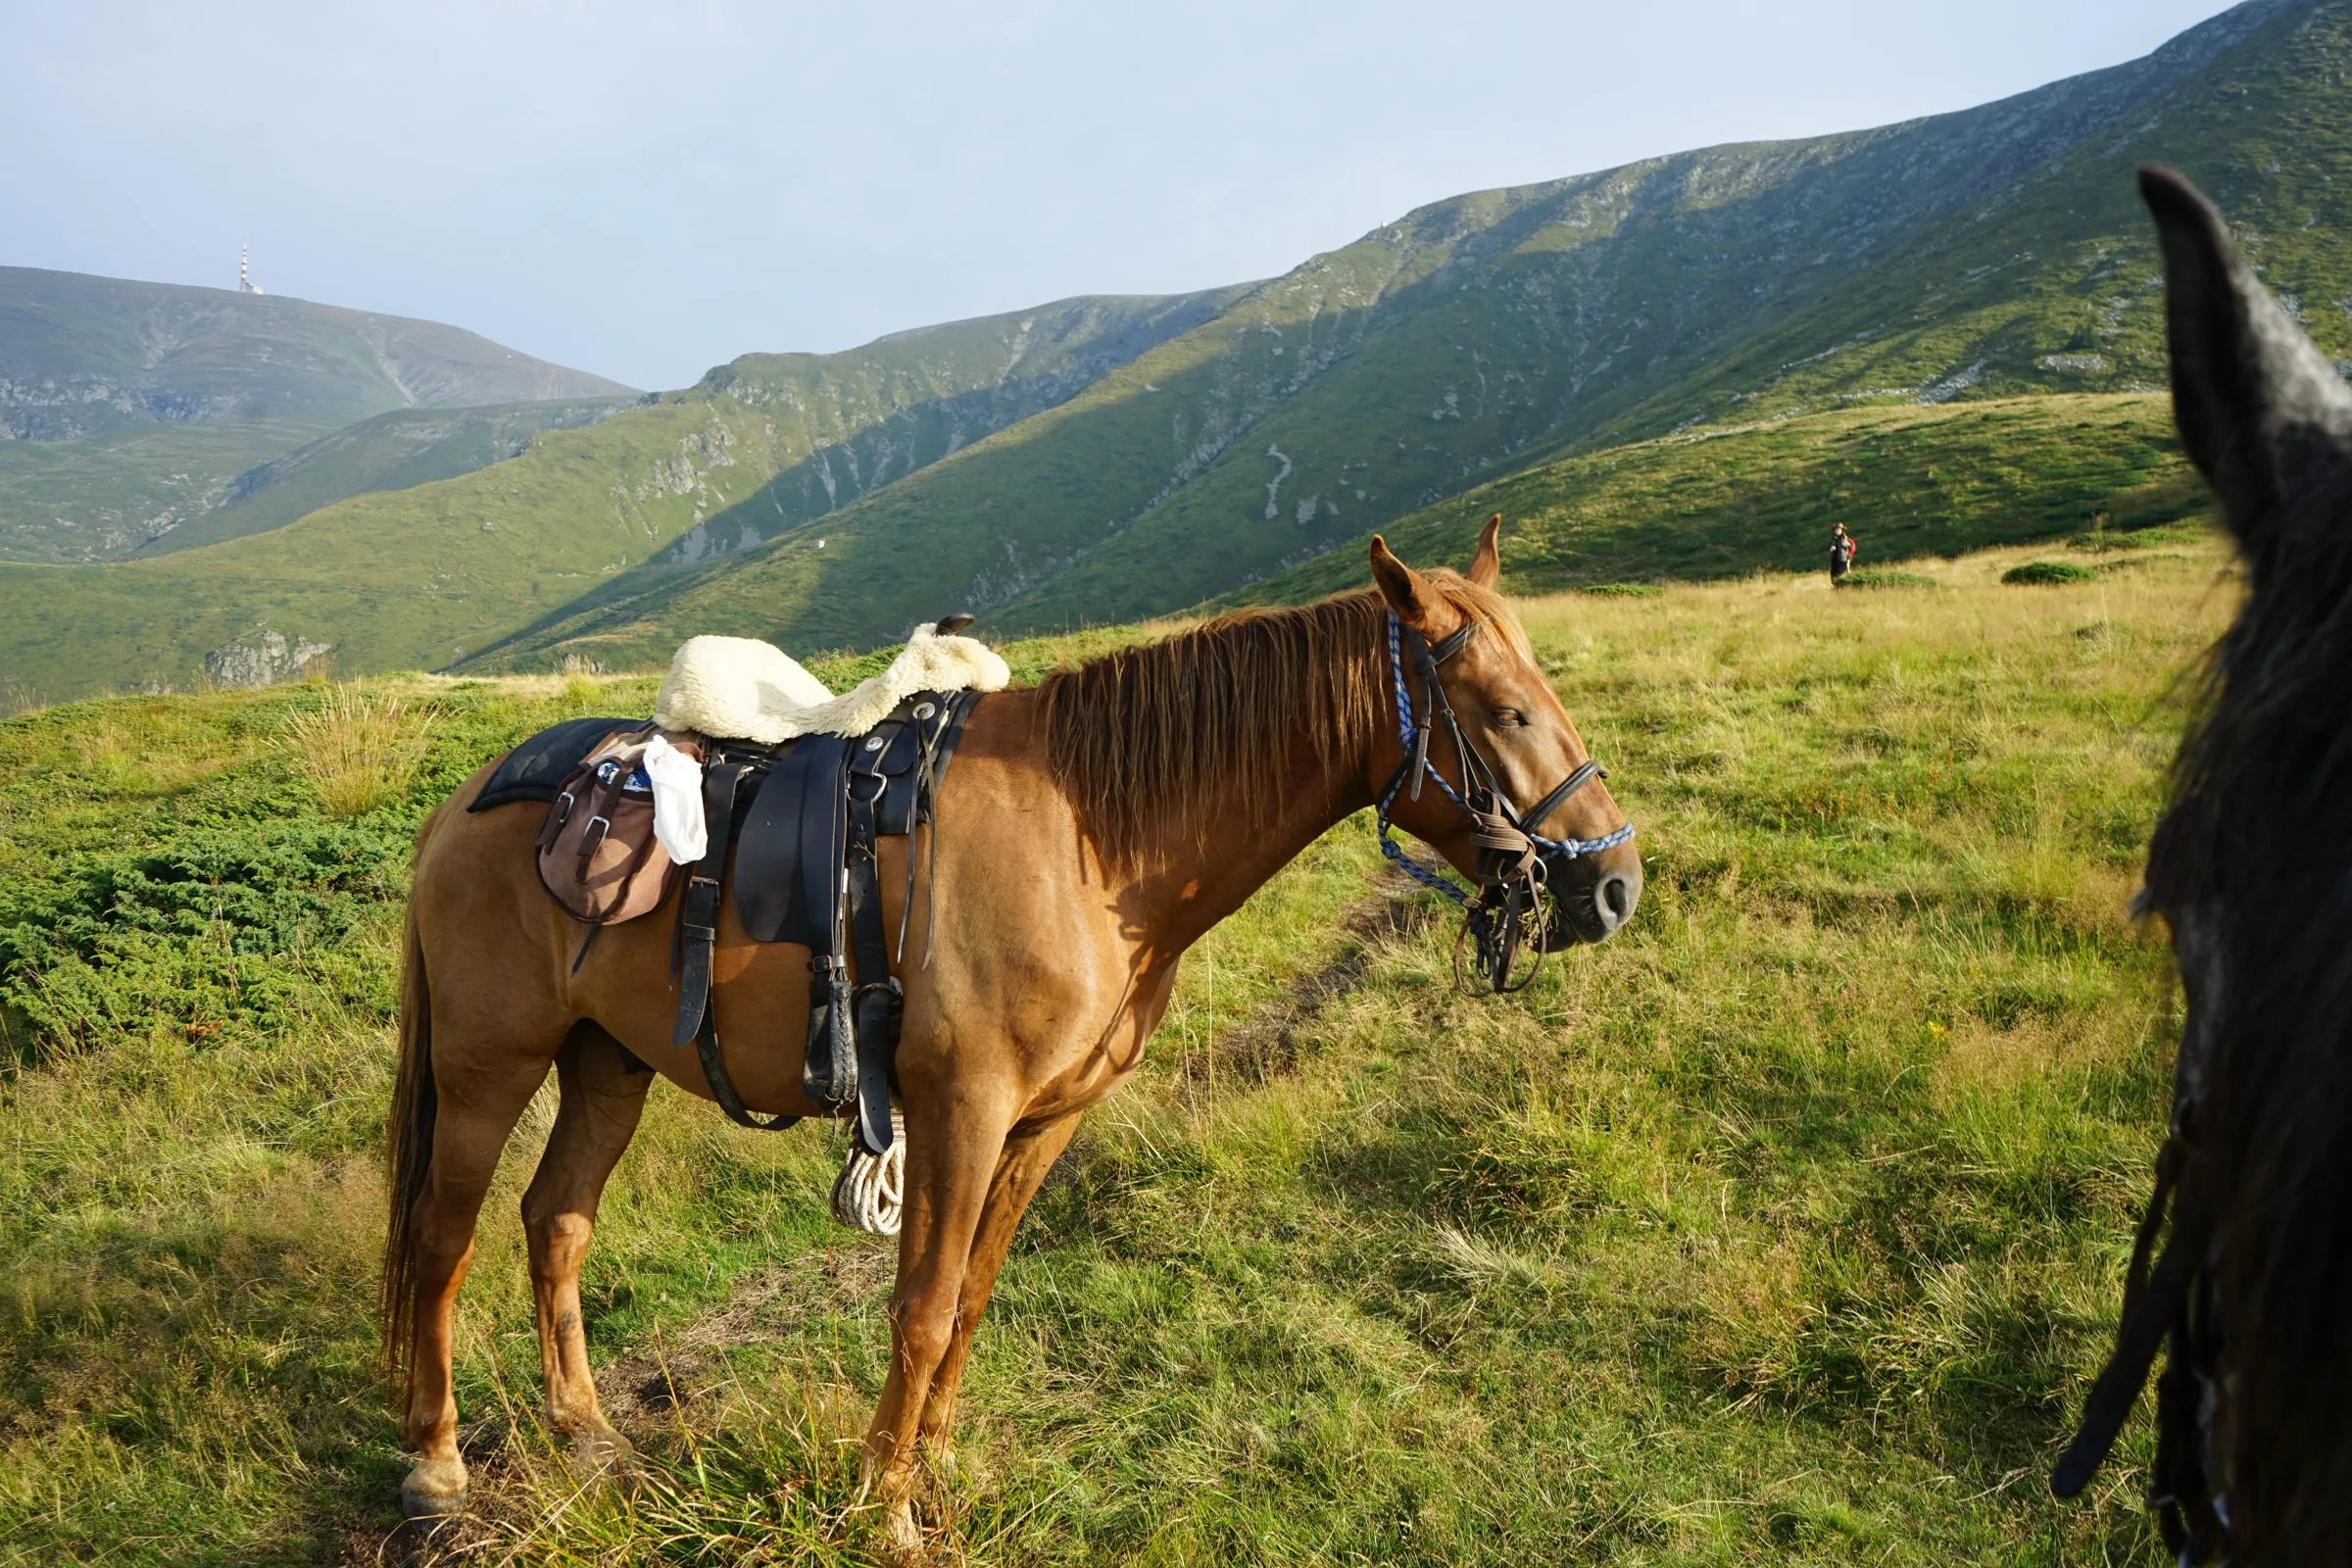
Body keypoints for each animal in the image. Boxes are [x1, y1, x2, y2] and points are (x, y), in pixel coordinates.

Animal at [380, 520, 1643, 1548]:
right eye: (1506, 712)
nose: (1616, 885)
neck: (1090, 837)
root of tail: (466, 799)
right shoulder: (962, 1109)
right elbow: (925, 1302)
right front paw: (886, 1505)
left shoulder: (1045, 1120)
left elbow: (973, 1295)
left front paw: (926, 1469)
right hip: (490, 1065)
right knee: (445, 1239)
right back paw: (437, 1470)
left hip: (610, 1061)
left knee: (557, 1223)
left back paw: (586, 1432)